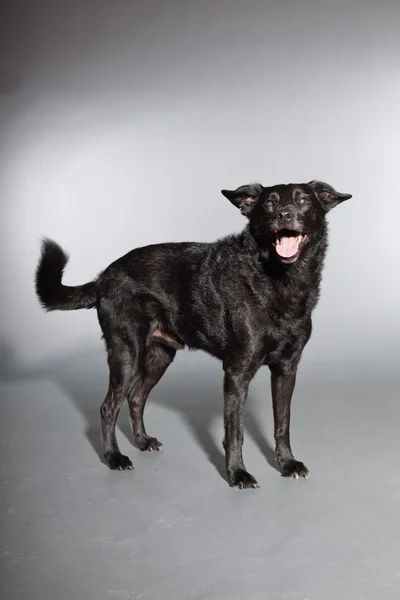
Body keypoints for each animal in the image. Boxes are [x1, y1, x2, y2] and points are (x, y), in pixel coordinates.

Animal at [36, 178, 352, 488]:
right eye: (269, 204)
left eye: (304, 200)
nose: (284, 214)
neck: (281, 280)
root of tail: (103, 277)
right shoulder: (237, 372)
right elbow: (235, 431)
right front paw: (237, 474)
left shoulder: (286, 369)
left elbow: (282, 423)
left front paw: (287, 464)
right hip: (127, 354)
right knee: (108, 407)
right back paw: (114, 458)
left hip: (159, 356)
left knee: (136, 397)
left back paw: (142, 442)